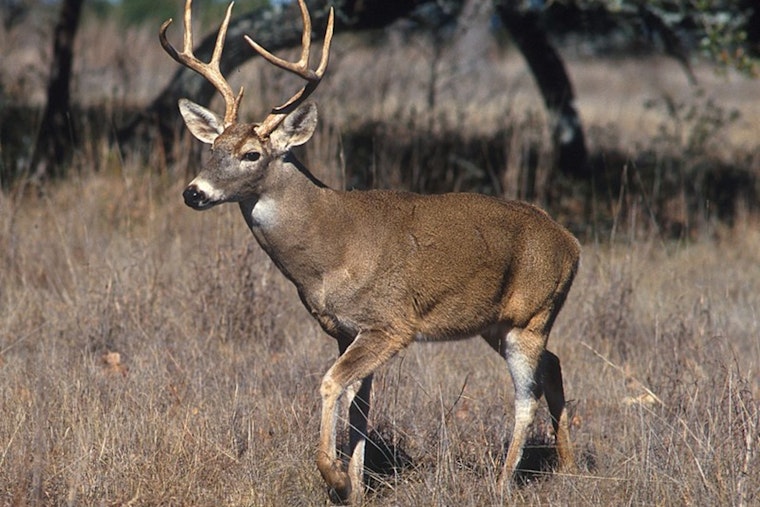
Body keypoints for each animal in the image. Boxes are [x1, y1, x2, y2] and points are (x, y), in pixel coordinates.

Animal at [160, 0, 580, 503]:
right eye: (213, 148)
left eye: (251, 154)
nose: (194, 192)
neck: (330, 250)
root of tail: (572, 243)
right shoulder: (345, 329)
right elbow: (359, 405)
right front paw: (357, 486)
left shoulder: (390, 323)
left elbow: (331, 384)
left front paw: (336, 476)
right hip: (497, 324)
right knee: (553, 367)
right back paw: (570, 466)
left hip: (531, 316)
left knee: (526, 395)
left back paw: (501, 483)